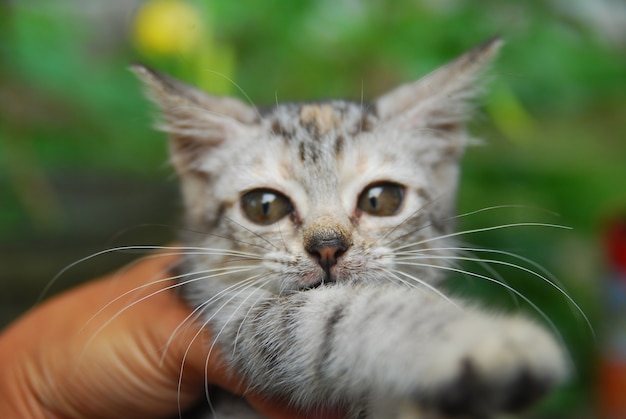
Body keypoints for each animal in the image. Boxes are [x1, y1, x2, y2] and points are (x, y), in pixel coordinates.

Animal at [134, 37, 568, 418]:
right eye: (264, 207)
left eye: (380, 199)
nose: (327, 246)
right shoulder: (230, 315)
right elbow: (337, 316)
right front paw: (475, 338)